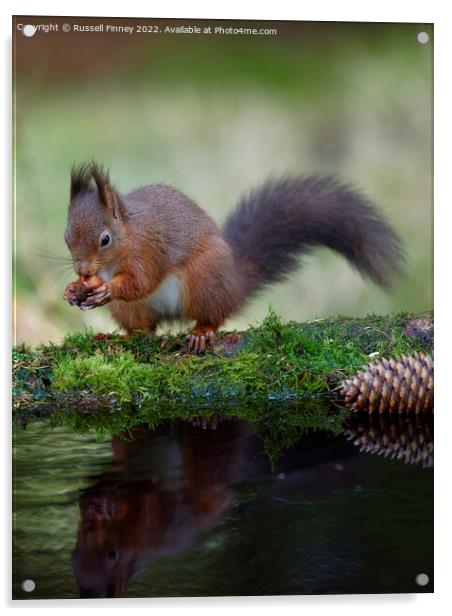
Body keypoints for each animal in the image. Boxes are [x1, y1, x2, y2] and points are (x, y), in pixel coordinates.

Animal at [61, 160, 404, 352]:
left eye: (105, 239)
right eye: (66, 237)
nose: (82, 269)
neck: (126, 241)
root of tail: (233, 286)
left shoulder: (150, 251)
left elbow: (141, 282)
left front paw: (106, 289)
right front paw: (72, 290)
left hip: (204, 279)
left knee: (213, 316)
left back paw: (202, 333)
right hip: (131, 311)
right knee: (143, 330)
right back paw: (118, 338)